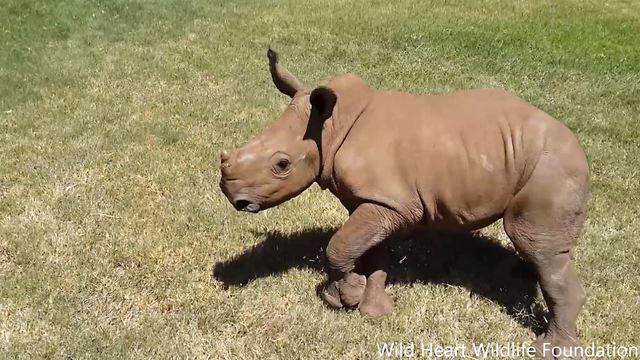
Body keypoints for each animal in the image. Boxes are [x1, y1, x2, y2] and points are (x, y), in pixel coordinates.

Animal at [219, 49, 592, 358]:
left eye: (282, 164)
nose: (232, 197)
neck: (331, 129)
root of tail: (579, 147)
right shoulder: (379, 201)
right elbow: (370, 252)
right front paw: (372, 309)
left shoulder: (391, 203)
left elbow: (338, 246)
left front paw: (344, 298)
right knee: (540, 250)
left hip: (552, 166)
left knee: (536, 245)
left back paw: (550, 350)